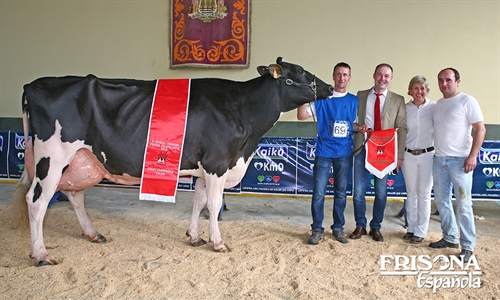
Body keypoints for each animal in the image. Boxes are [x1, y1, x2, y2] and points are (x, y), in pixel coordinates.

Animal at [12, 56, 332, 264]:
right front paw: (218, 242)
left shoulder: (205, 168)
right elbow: (213, 204)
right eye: (300, 71)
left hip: (81, 159)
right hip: (51, 157)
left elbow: (199, 202)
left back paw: (92, 234)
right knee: (37, 201)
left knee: (74, 195)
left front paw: (194, 236)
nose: (329, 87)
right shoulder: (216, 162)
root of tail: (33, 85)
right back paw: (40, 254)